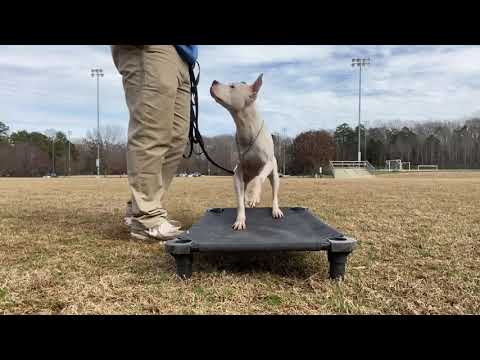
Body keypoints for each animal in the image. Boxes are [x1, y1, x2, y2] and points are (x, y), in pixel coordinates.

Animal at [209, 74, 284, 231]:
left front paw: (254, 196)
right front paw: (240, 219)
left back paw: (274, 209)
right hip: (246, 177)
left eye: (232, 86)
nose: (214, 81)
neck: (247, 128)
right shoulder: (238, 174)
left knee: (273, 191)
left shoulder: (267, 163)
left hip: (274, 175)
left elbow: (259, 179)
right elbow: (239, 200)